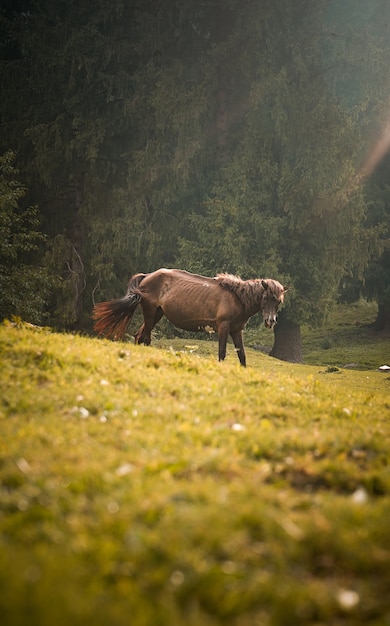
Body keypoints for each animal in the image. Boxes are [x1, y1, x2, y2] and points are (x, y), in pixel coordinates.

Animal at [92, 266, 286, 364]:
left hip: (157, 314)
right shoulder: (223, 327)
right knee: (144, 337)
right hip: (150, 312)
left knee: (140, 337)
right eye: (266, 297)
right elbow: (222, 353)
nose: (270, 321)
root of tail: (147, 276)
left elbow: (242, 356)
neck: (237, 297)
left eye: (278, 302)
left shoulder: (237, 331)